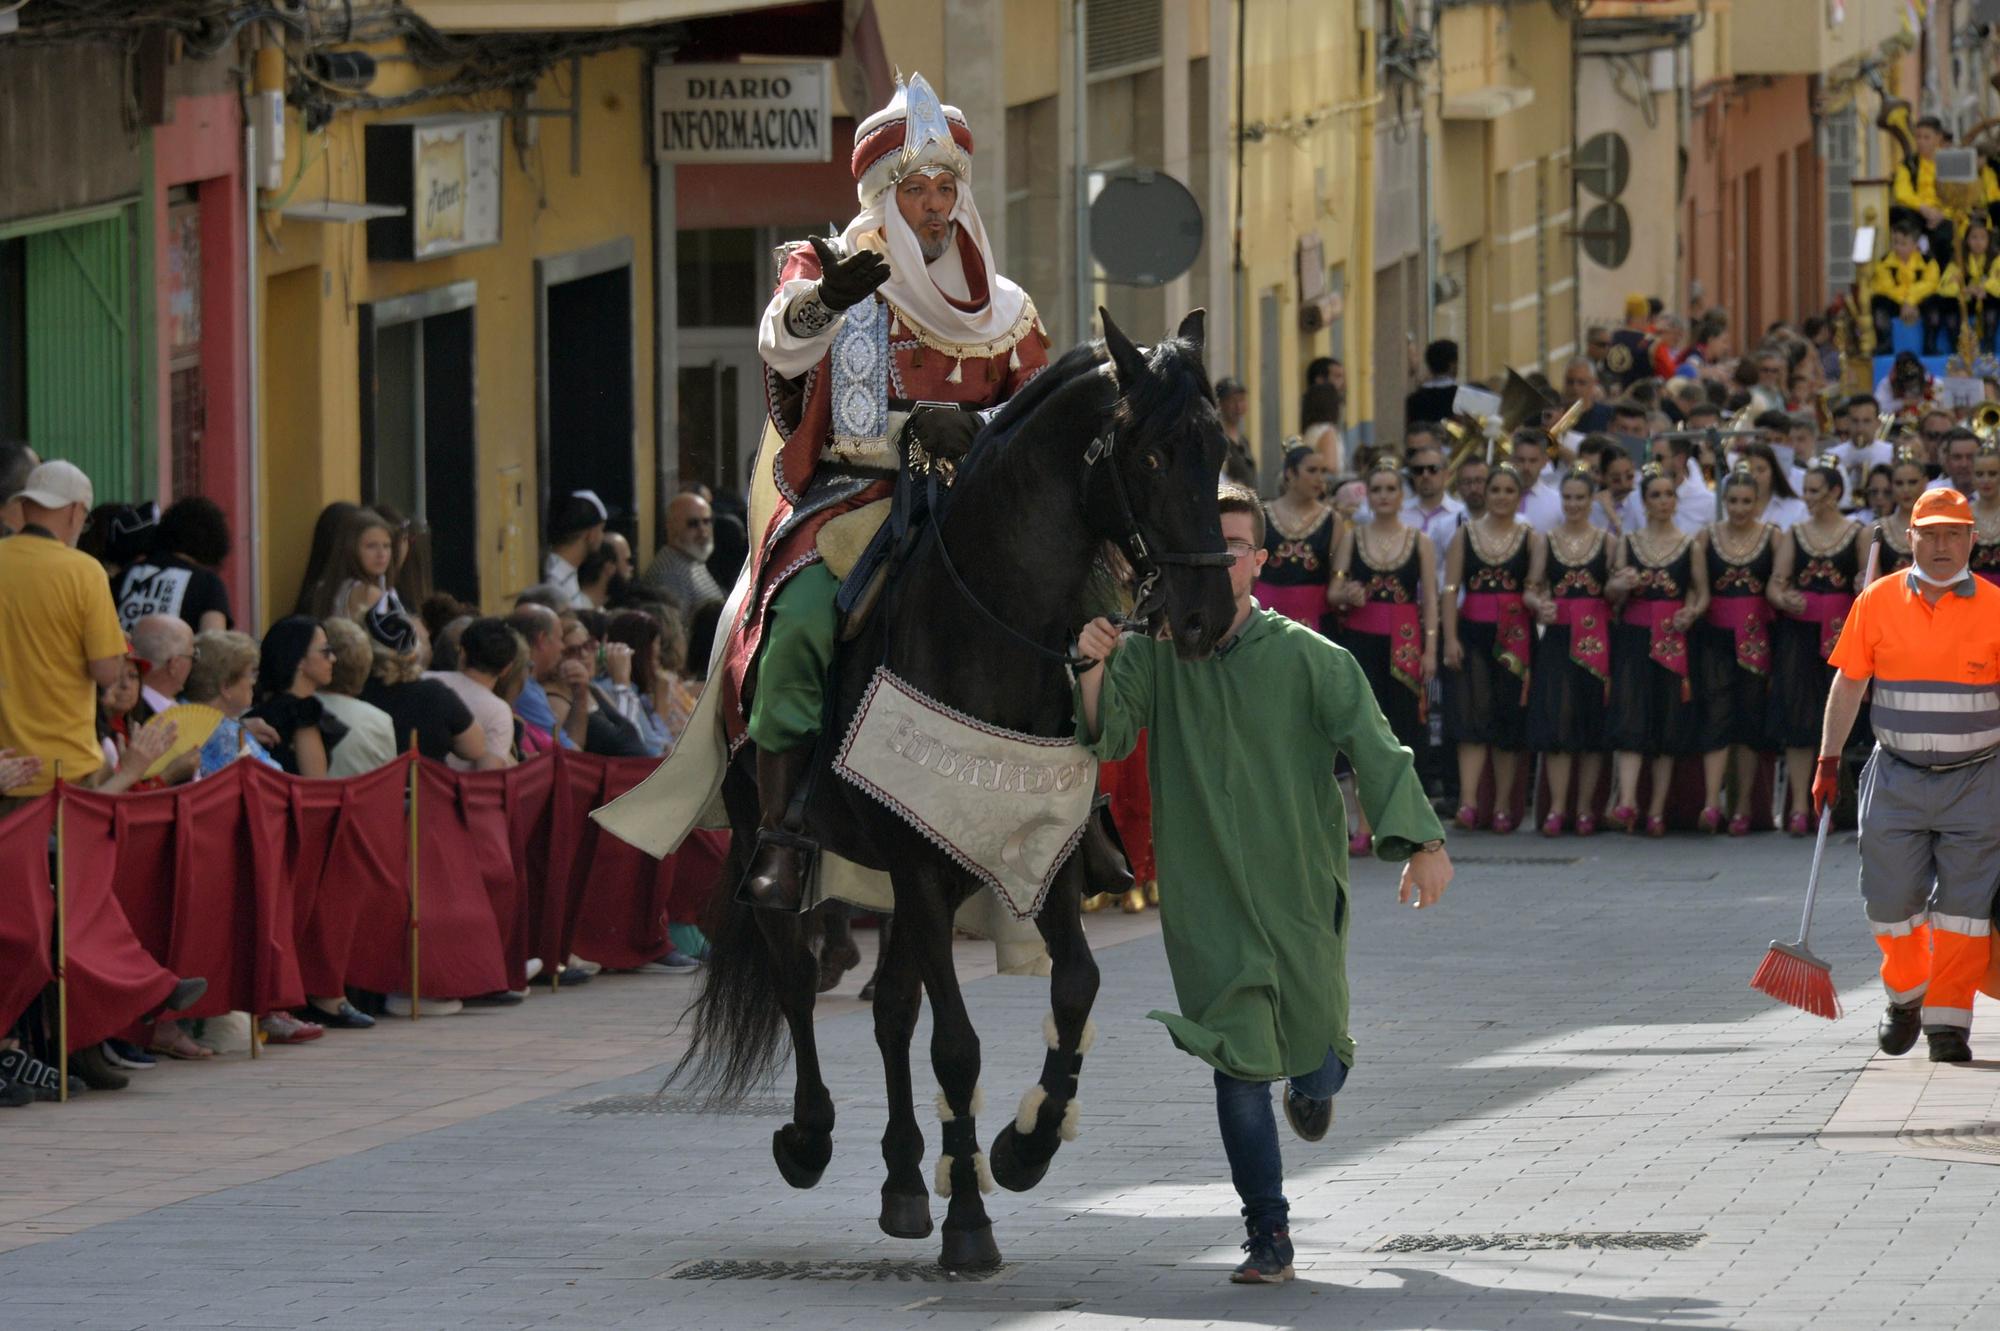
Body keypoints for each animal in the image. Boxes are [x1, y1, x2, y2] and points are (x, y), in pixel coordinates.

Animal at [672, 305, 1232, 1271]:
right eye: (1157, 455)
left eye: (1222, 446)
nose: (1207, 615)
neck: (987, 624)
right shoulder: (923, 865)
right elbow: (958, 1046)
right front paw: (972, 1217)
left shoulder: (1033, 848)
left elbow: (1074, 987)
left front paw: (1022, 1146)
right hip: (775, 842)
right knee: (795, 977)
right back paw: (809, 1135)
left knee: (893, 1010)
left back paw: (903, 1178)